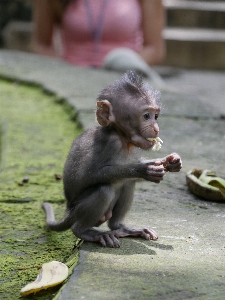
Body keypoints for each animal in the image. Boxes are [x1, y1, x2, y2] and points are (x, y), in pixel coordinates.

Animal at [42, 71, 182, 247]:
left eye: (155, 116)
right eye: (146, 116)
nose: (156, 128)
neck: (123, 139)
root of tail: (68, 209)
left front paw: (170, 162)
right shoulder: (111, 143)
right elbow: (90, 175)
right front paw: (144, 170)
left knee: (128, 183)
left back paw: (121, 228)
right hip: (78, 210)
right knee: (105, 189)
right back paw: (85, 231)